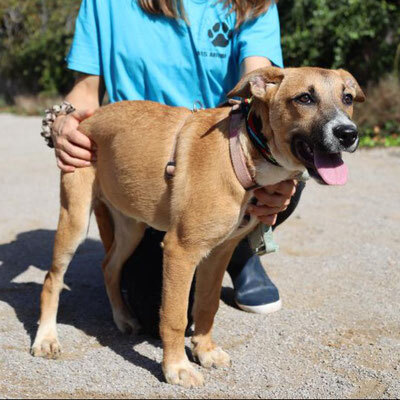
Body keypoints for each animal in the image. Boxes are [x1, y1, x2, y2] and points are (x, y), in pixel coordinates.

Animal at [32, 66, 366, 388]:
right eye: (305, 98)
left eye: (347, 98)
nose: (348, 134)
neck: (243, 152)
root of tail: (89, 118)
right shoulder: (181, 251)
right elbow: (175, 316)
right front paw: (176, 368)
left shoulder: (218, 253)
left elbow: (207, 306)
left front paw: (204, 351)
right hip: (75, 219)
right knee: (52, 279)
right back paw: (46, 339)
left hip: (131, 227)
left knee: (109, 266)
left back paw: (122, 317)